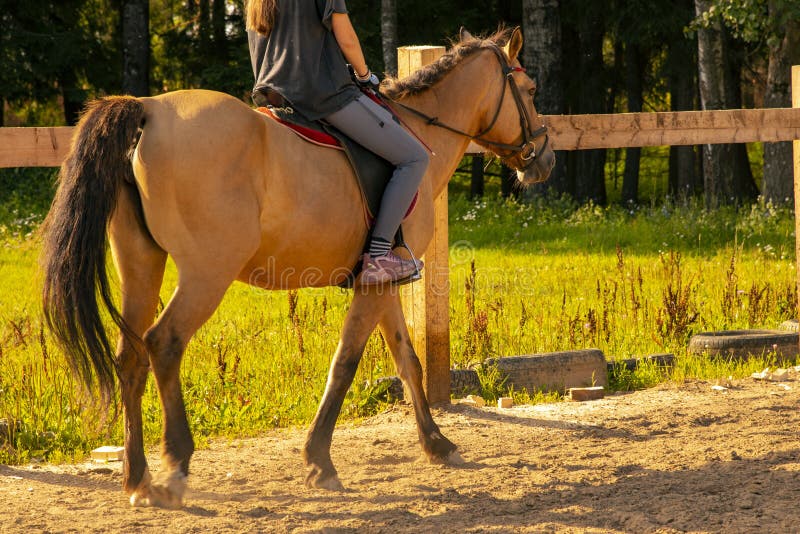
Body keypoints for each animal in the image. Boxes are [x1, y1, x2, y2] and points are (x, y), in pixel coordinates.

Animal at [42, 29, 552, 510]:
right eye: (530, 89)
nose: (544, 158)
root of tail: (149, 109)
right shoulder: (376, 284)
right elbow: (345, 362)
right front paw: (320, 461)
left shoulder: (383, 278)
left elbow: (407, 358)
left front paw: (437, 444)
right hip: (208, 273)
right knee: (164, 344)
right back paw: (176, 467)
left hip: (141, 263)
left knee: (130, 357)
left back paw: (138, 478)